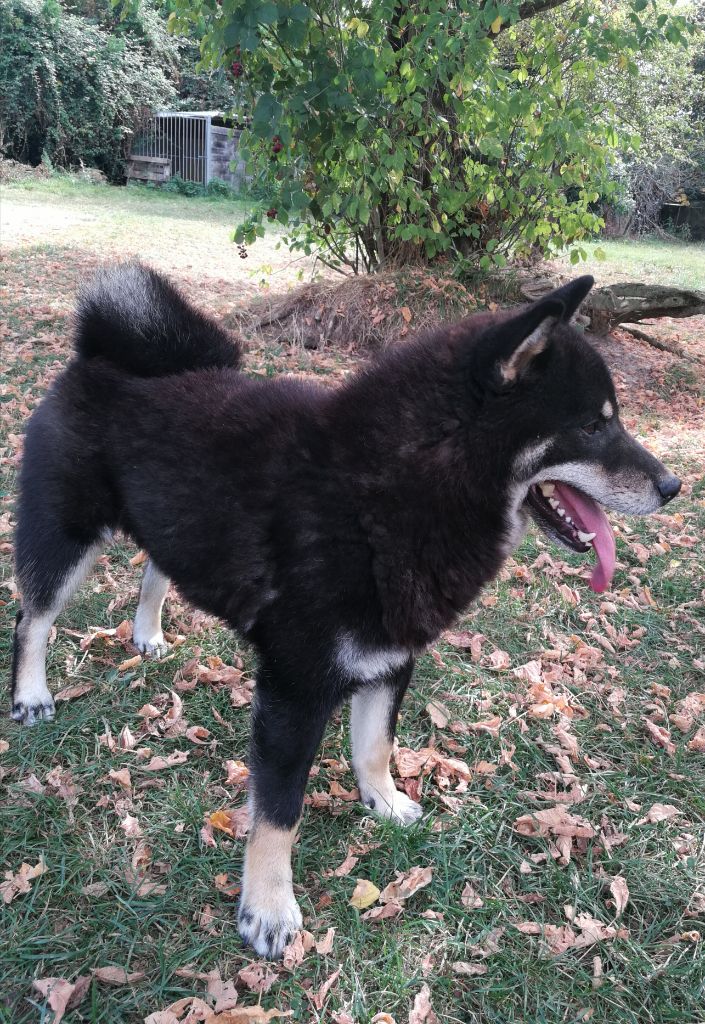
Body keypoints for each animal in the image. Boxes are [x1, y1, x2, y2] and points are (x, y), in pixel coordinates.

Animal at [11, 266, 680, 958]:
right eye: (593, 426)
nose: (673, 486)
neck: (389, 493)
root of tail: (95, 356)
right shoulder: (294, 689)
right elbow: (279, 811)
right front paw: (268, 909)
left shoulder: (392, 657)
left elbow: (376, 745)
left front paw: (382, 800)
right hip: (64, 537)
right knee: (32, 618)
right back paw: (31, 694)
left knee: (153, 568)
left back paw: (147, 633)